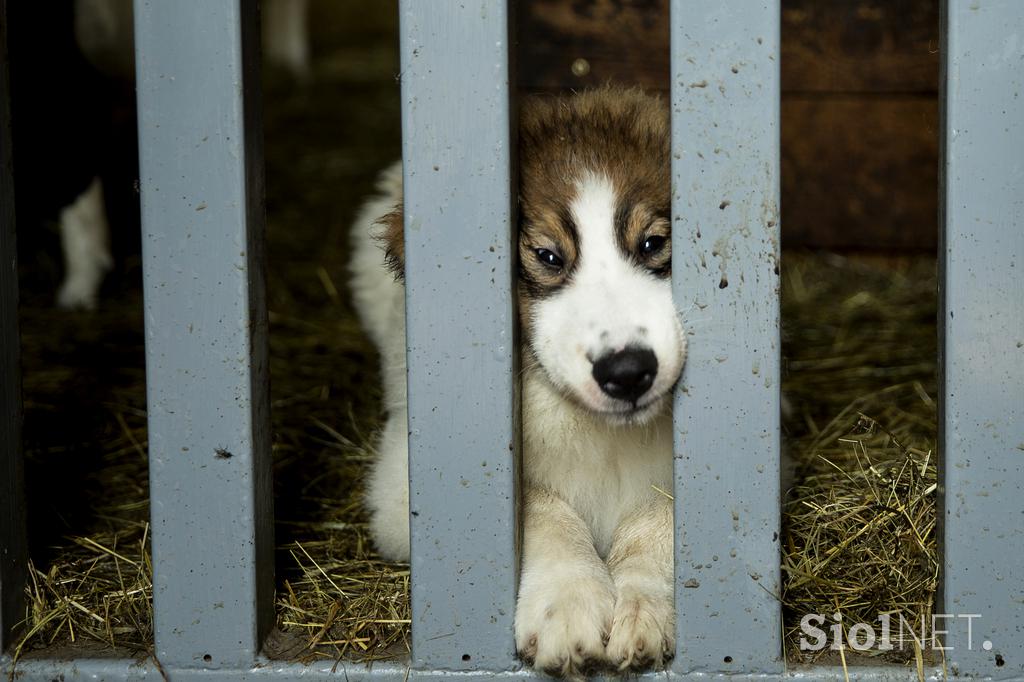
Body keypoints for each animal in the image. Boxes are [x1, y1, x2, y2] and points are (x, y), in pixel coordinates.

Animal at [348, 86, 684, 675]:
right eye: (548, 256)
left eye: (651, 244)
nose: (628, 373)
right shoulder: (402, 490)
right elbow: (535, 505)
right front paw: (568, 604)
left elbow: (658, 513)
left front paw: (643, 605)